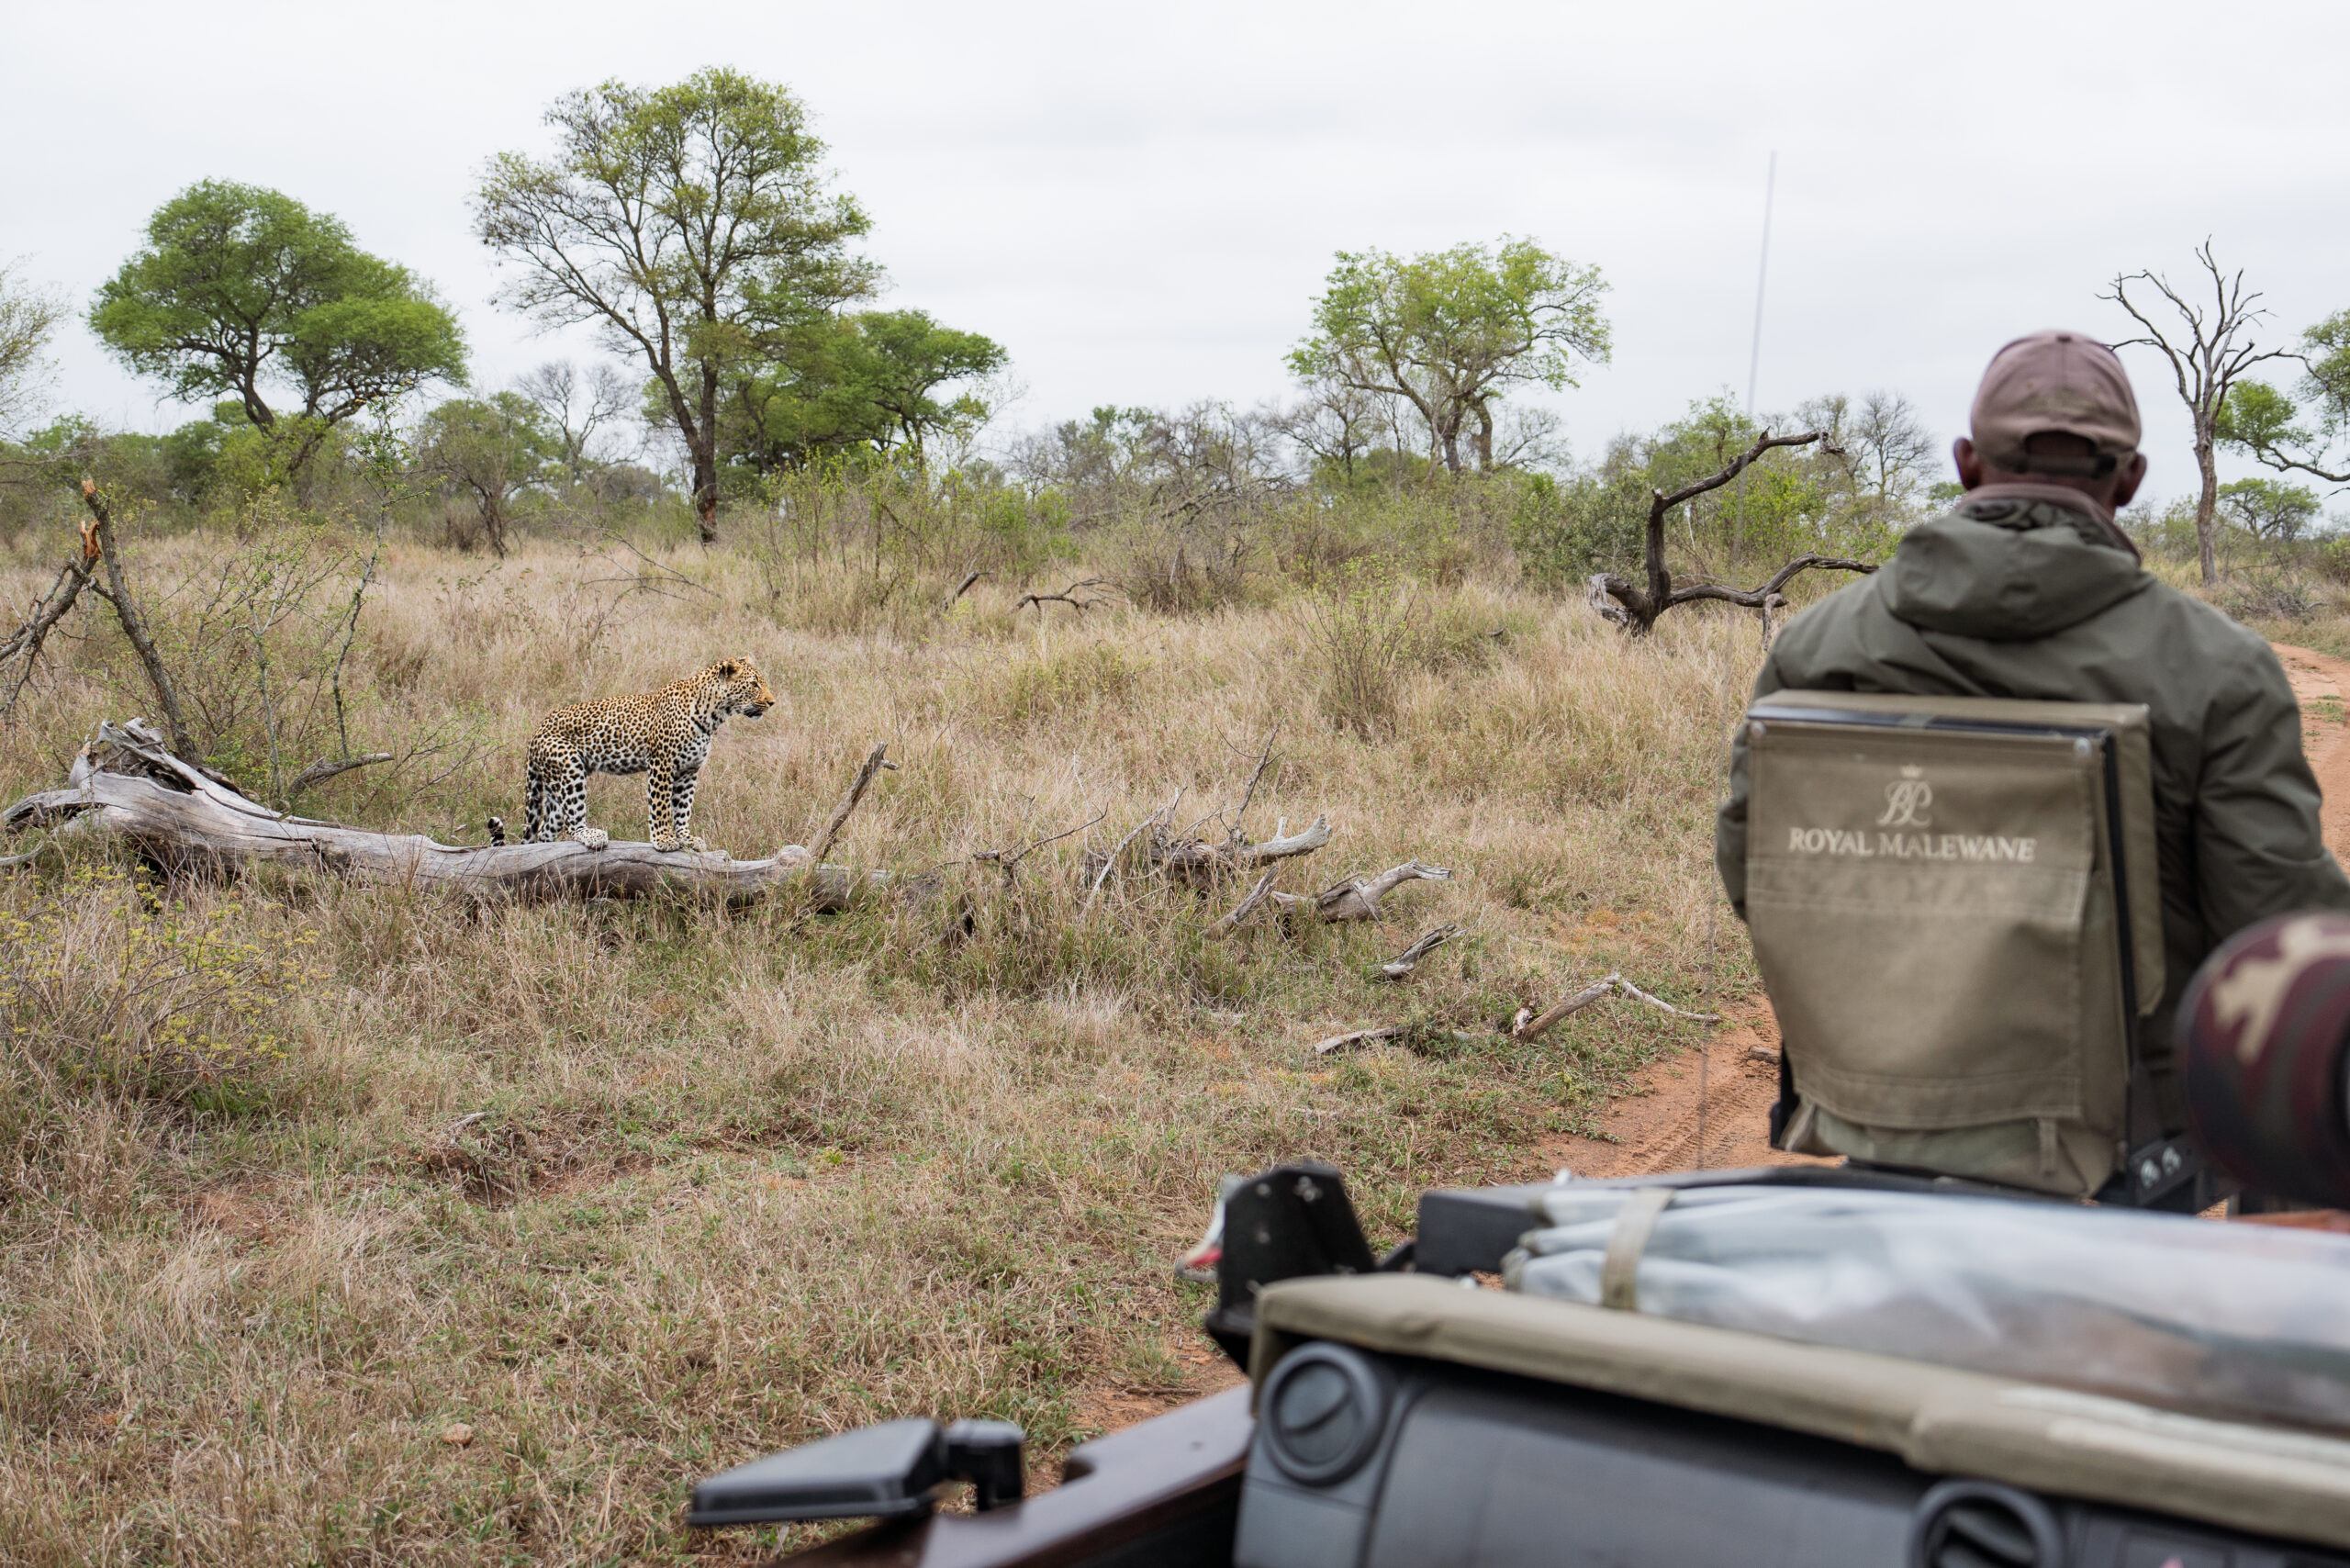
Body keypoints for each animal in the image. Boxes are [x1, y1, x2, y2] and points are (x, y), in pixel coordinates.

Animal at [509, 663, 775, 860]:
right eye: (754, 684)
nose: (772, 702)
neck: (712, 714)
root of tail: (536, 731)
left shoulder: (688, 771)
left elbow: (683, 809)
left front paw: (686, 838)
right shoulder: (662, 763)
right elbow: (661, 806)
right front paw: (663, 839)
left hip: (555, 785)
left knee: (546, 830)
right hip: (569, 770)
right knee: (573, 822)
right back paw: (592, 835)